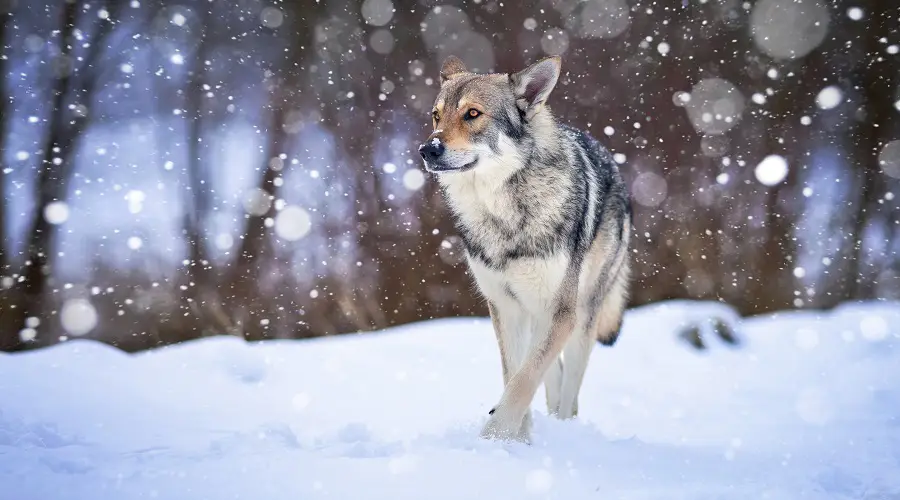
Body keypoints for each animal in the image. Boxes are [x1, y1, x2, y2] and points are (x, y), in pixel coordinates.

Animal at [416, 56, 632, 444]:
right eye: (436, 116)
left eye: (472, 114)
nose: (428, 149)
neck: (503, 212)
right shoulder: (504, 306)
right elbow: (515, 373)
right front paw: (516, 441)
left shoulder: (561, 314)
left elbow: (523, 381)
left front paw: (495, 438)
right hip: (534, 311)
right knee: (550, 372)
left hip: (581, 319)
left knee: (569, 392)